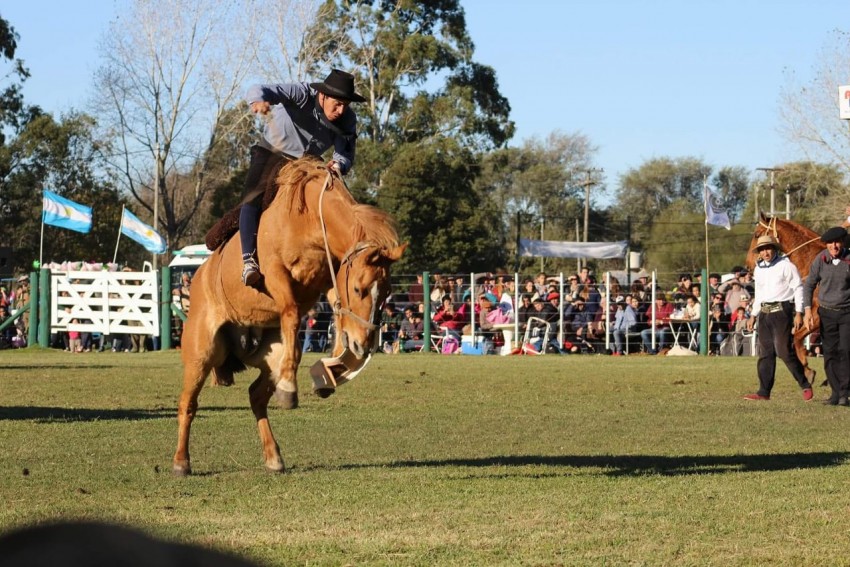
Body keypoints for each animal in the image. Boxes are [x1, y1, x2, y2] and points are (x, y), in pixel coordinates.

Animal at [172, 158, 404, 478]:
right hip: (201, 353)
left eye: (387, 292)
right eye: (358, 288)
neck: (308, 221)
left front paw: (332, 369)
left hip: (269, 356)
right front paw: (298, 383)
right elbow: (293, 313)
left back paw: (274, 455)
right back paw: (181, 462)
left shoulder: (327, 282)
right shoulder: (276, 276)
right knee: (188, 403)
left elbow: (335, 313)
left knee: (256, 396)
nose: (364, 345)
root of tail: (198, 279)